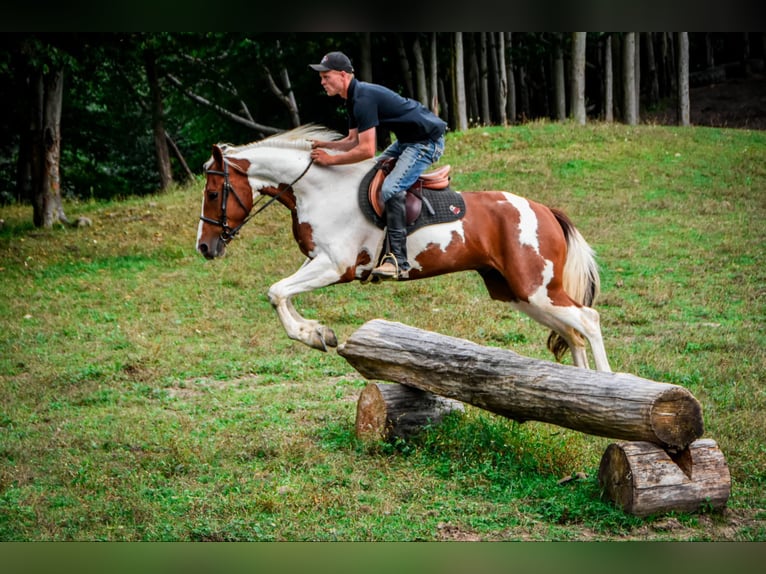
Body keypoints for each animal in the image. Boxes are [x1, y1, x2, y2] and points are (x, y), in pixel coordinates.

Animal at [196, 125, 612, 374]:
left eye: (213, 194)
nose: (204, 247)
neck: (318, 189)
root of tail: (546, 211)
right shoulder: (317, 262)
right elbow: (282, 294)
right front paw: (317, 333)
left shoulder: (335, 267)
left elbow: (277, 291)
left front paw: (311, 333)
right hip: (517, 292)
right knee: (572, 332)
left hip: (535, 289)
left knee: (588, 320)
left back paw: (607, 384)